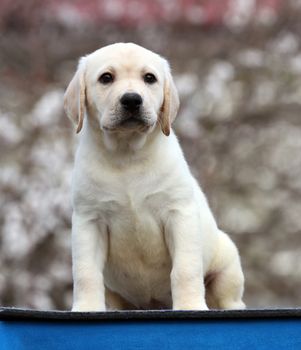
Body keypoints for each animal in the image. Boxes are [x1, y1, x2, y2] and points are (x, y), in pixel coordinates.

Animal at [63, 41, 244, 312]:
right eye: (106, 78)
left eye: (149, 78)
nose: (131, 100)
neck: (127, 155)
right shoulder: (89, 220)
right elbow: (86, 272)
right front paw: (86, 308)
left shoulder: (179, 214)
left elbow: (185, 269)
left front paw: (189, 305)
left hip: (226, 264)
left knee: (229, 298)